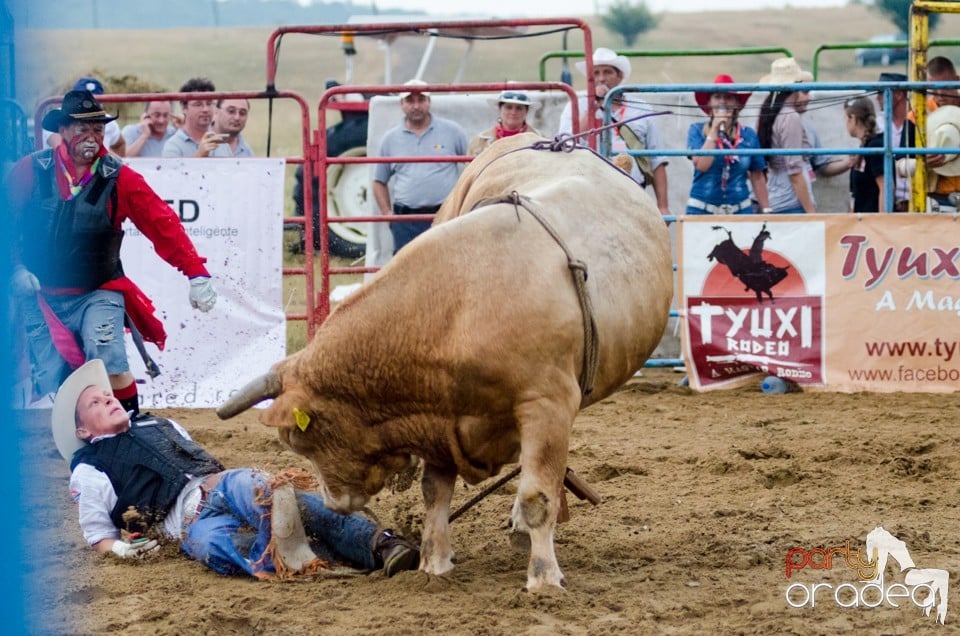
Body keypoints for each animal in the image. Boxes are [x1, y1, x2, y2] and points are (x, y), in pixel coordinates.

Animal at [218, 134, 672, 592]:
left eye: (297, 439)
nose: (334, 503)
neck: (455, 307)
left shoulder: (549, 406)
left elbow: (537, 497)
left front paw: (544, 577)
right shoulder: (438, 419)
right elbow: (435, 492)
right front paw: (434, 565)